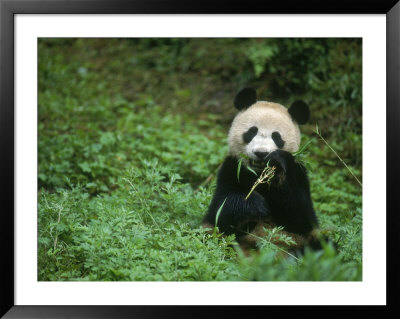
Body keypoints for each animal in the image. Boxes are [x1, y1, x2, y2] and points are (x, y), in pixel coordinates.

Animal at [203, 87, 324, 255]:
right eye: (252, 131)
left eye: (277, 137)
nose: (261, 153)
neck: (258, 174)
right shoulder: (231, 169)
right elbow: (220, 209)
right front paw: (256, 204)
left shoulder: (299, 173)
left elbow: (300, 216)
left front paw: (277, 161)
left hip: (306, 242)